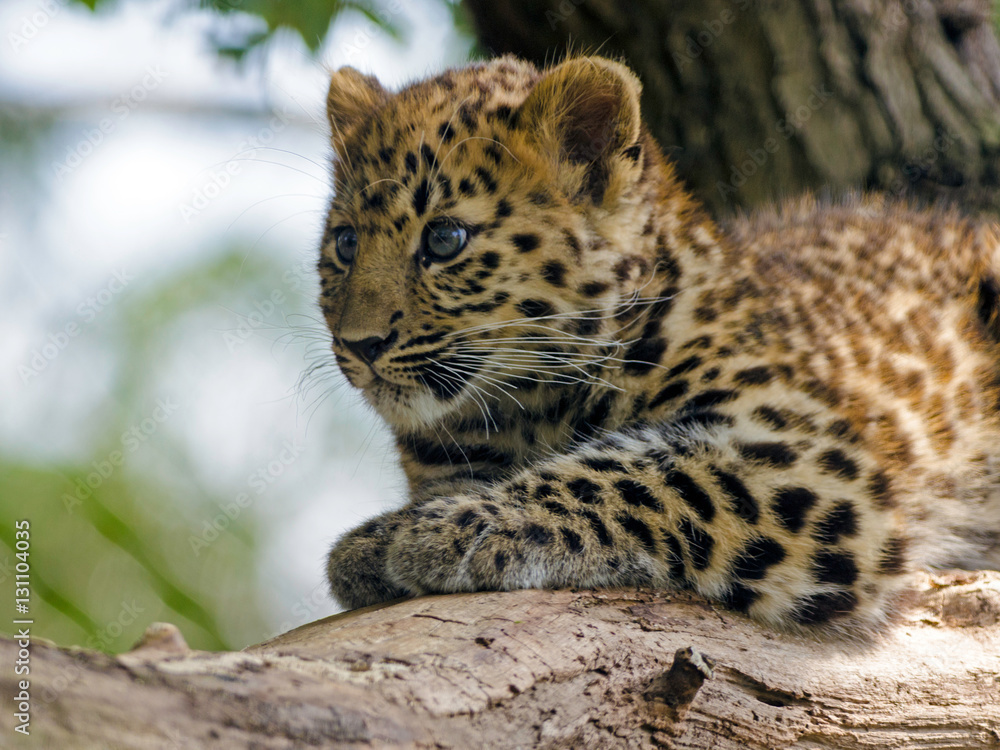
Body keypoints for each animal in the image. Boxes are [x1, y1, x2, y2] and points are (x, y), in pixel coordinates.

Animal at [317, 54, 1000, 634]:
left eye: (445, 239)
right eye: (346, 244)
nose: (361, 344)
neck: (524, 411)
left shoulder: (808, 455)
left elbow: (625, 473)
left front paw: (426, 533)